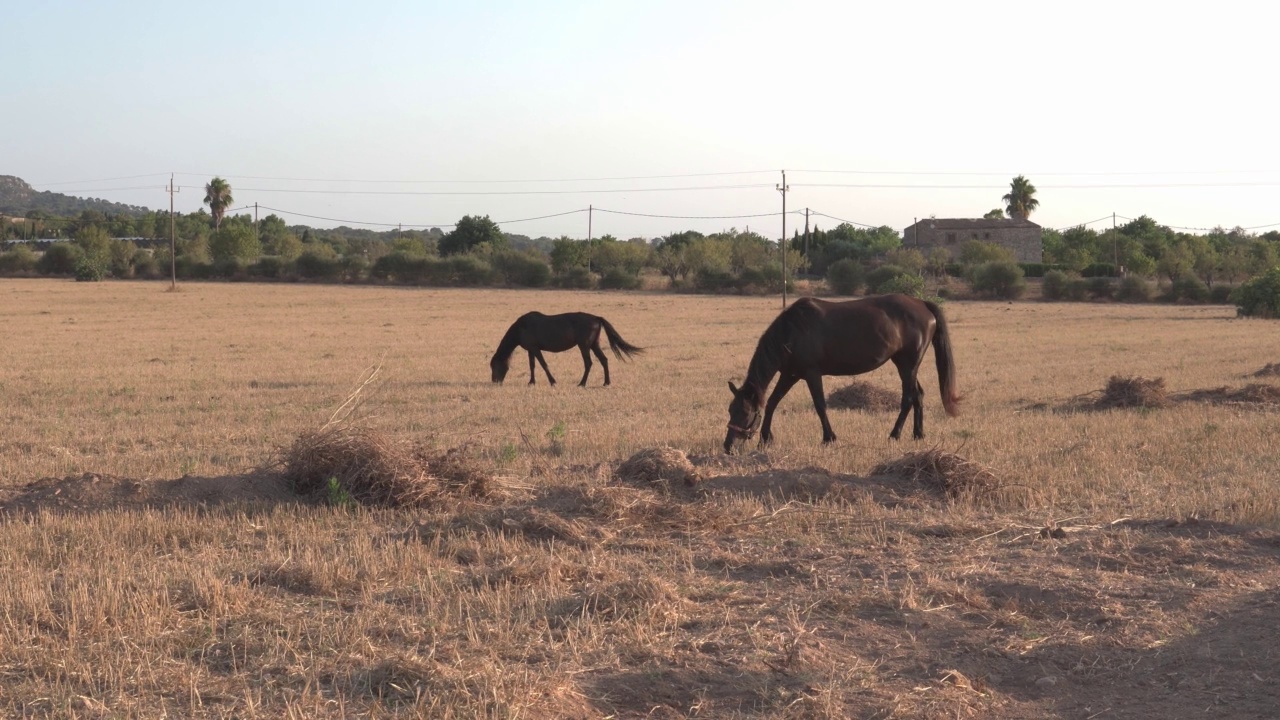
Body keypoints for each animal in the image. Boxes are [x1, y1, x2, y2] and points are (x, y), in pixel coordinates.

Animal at [494, 310, 645, 384]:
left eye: (494, 366)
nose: (495, 381)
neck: (521, 328)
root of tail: (596, 318)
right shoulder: (531, 350)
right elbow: (532, 365)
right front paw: (531, 382)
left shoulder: (535, 349)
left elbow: (543, 364)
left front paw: (552, 381)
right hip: (594, 344)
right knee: (604, 360)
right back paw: (606, 382)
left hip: (584, 345)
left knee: (588, 363)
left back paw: (582, 383)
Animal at [721, 289, 962, 448]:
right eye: (730, 410)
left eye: (745, 412)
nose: (728, 446)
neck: (791, 331)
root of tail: (922, 304)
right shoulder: (790, 374)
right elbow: (772, 402)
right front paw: (765, 439)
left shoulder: (811, 374)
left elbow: (820, 405)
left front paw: (829, 438)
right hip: (905, 365)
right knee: (918, 395)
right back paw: (918, 434)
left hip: (908, 364)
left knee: (909, 398)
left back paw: (894, 435)